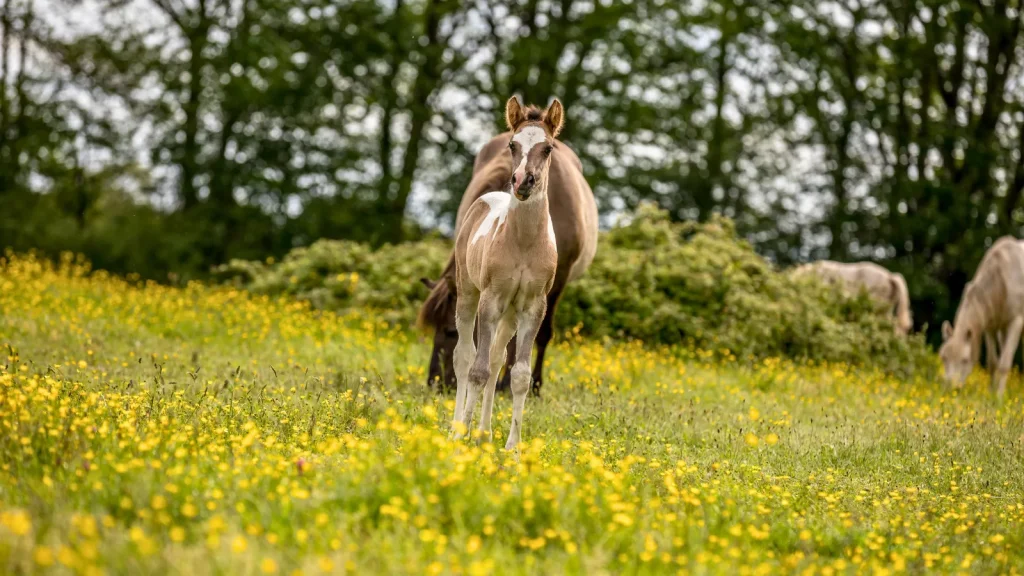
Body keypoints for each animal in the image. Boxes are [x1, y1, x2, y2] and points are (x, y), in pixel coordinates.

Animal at [419, 96, 598, 397]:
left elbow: (542, 334)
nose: (435, 382)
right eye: (512, 146)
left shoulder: (554, 282)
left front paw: (532, 385)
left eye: (450, 331)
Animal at [452, 95, 565, 448]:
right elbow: (478, 370)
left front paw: (513, 449)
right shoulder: (490, 300)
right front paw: (462, 438)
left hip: (511, 315)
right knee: (464, 357)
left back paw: (484, 434)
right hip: (468, 293)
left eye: (548, 148)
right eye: (513, 144)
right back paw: (457, 429)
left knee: (497, 357)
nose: (522, 181)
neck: (525, 243)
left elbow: (519, 376)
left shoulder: (533, 307)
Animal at [937, 234, 1024, 393]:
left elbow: (1004, 363)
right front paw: (991, 393)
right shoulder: (990, 326)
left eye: (964, 360)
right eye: (944, 357)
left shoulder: (1016, 321)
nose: (951, 388)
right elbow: (992, 362)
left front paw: (1000, 396)